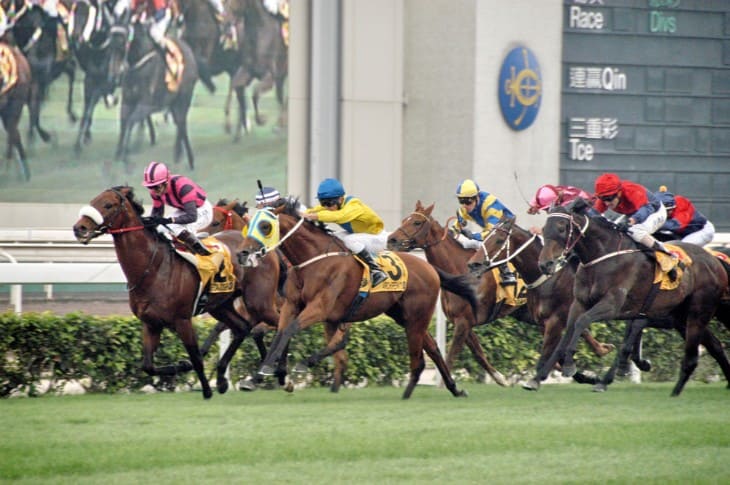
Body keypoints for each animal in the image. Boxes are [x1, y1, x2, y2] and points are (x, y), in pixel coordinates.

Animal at [73, 185, 278, 398]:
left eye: (108, 204)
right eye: (93, 201)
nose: (80, 228)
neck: (154, 267)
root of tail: (258, 246)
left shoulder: (182, 320)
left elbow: (196, 357)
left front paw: (206, 390)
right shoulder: (151, 323)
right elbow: (148, 366)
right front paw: (178, 368)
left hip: (260, 303)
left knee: (280, 323)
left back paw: (276, 373)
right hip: (221, 305)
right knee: (243, 327)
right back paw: (223, 378)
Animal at [105, 13, 196, 168]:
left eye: (122, 43)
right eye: (111, 44)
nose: (113, 77)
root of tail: (189, 50)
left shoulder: (146, 104)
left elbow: (131, 121)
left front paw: (127, 153)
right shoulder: (127, 101)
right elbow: (124, 123)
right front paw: (119, 153)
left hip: (184, 98)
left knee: (181, 123)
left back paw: (185, 156)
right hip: (174, 103)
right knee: (180, 124)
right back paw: (181, 155)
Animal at [236, 199, 466, 398]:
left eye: (265, 226)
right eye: (249, 224)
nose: (242, 252)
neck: (313, 260)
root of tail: (430, 268)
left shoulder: (319, 308)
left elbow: (290, 330)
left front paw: (275, 370)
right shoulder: (292, 306)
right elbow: (281, 333)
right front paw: (257, 377)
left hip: (417, 316)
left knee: (422, 353)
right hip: (403, 316)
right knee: (432, 347)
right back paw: (453, 389)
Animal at [536, 199, 728, 396]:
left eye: (561, 228)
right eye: (544, 228)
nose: (545, 264)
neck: (602, 257)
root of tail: (715, 260)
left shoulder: (613, 305)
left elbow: (583, 322)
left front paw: (570, 366)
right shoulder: (579, 303)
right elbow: (568, 332)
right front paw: (538, 377)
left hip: (698, 312)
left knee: (696, 353)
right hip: (683, 317)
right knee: (714, 346)